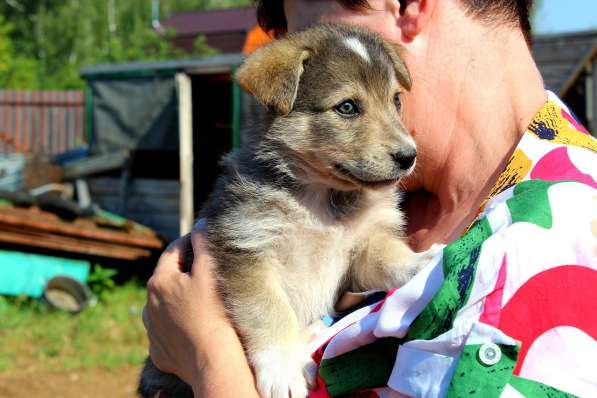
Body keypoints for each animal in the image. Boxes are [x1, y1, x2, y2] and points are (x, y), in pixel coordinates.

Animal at [140, 23, 430, 396]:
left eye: (395, 100)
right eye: (347, 107)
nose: (409, 157)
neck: (322, 200)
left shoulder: (358, 252)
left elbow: (388, 257)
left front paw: (421, 263)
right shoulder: (246, 248)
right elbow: (268, 311)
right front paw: (282, 369)